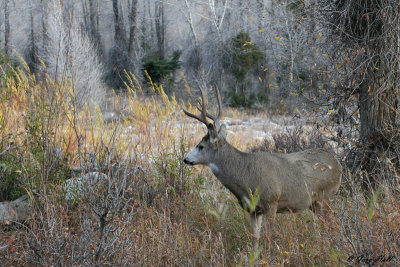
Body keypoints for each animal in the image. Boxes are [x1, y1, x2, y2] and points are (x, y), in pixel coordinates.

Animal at [183, 88, 342, 253]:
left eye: (201, 146)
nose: (185, 159)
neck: (245, 176)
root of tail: (337, 163)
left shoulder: (271, 203)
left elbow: (268, 238)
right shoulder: (254, 210)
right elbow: (256, 238)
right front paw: (255, 255)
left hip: (327, 196)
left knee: (334, 223)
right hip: (315, 203)